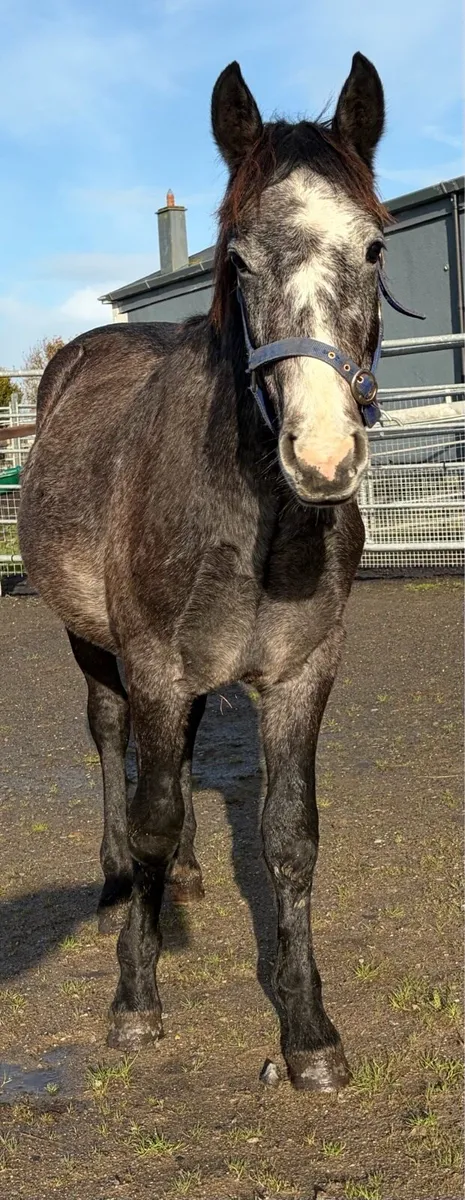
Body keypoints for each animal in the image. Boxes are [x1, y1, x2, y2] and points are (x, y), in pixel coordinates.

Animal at [19, 52, 388, 1092]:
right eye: (238, 262)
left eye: (375, 249)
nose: (322, 454)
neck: (251, 530)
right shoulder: (149, 665)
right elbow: (147, 809)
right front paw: (135, 996)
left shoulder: (304, 673)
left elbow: (290, 838)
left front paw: (308, 1032)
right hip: (95, 648)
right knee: (117, 751)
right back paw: (120, 875)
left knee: (176, 760)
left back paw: (182, 867)